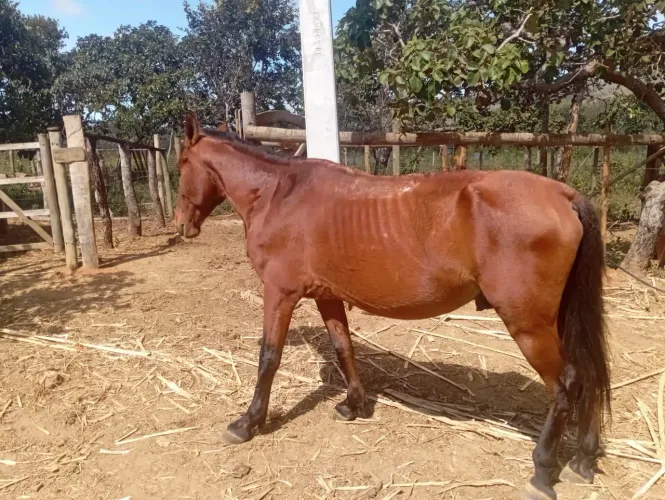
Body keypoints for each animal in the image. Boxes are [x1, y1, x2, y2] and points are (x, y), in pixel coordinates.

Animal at [174, 113, 611, 500]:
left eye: (180, 166)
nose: (181, 225)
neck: (279, 194)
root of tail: (563, 194)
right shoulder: (327, 296)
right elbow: (343, 348)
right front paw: (353, 404)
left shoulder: (279, 294)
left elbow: (268, 357)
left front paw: (247, 422)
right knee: (588, 374)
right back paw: (583, 461)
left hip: (529, 325)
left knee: (567, 384)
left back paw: (543, 470)